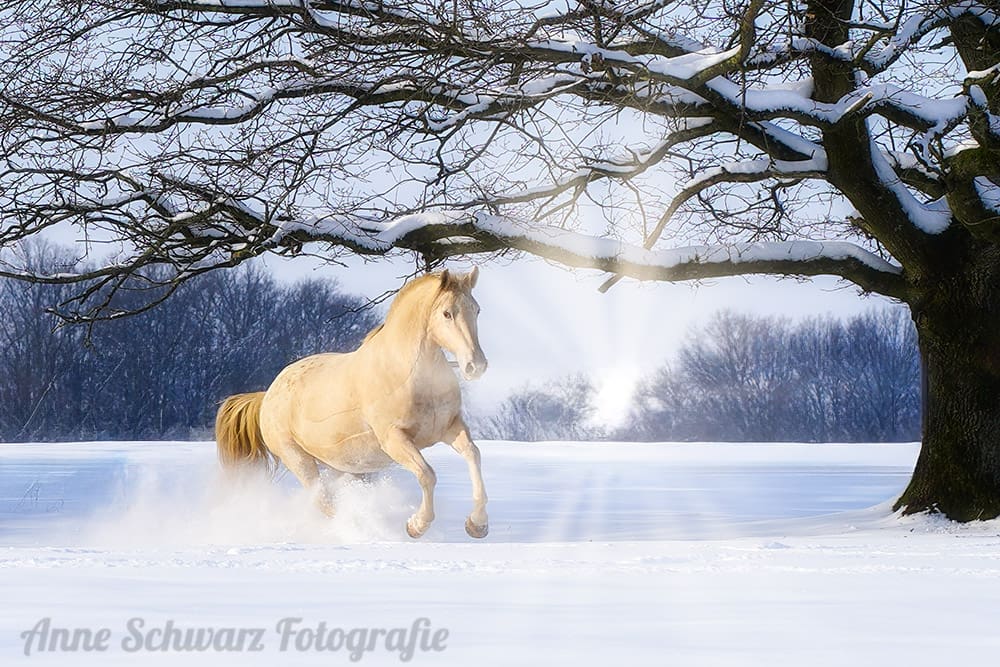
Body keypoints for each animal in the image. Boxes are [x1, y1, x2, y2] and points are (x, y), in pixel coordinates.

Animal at [214, 268, 489, 539]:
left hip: (339, 464)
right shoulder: (394, 439)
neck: (405, 372)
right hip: (297, 459)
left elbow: (473, 455)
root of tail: (267, 395)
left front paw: (477, 525)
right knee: (323, 501)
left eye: (477, 310)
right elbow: (427, 474)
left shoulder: (450, 427)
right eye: (447, 313)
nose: (475, 366)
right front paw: (416, 525)